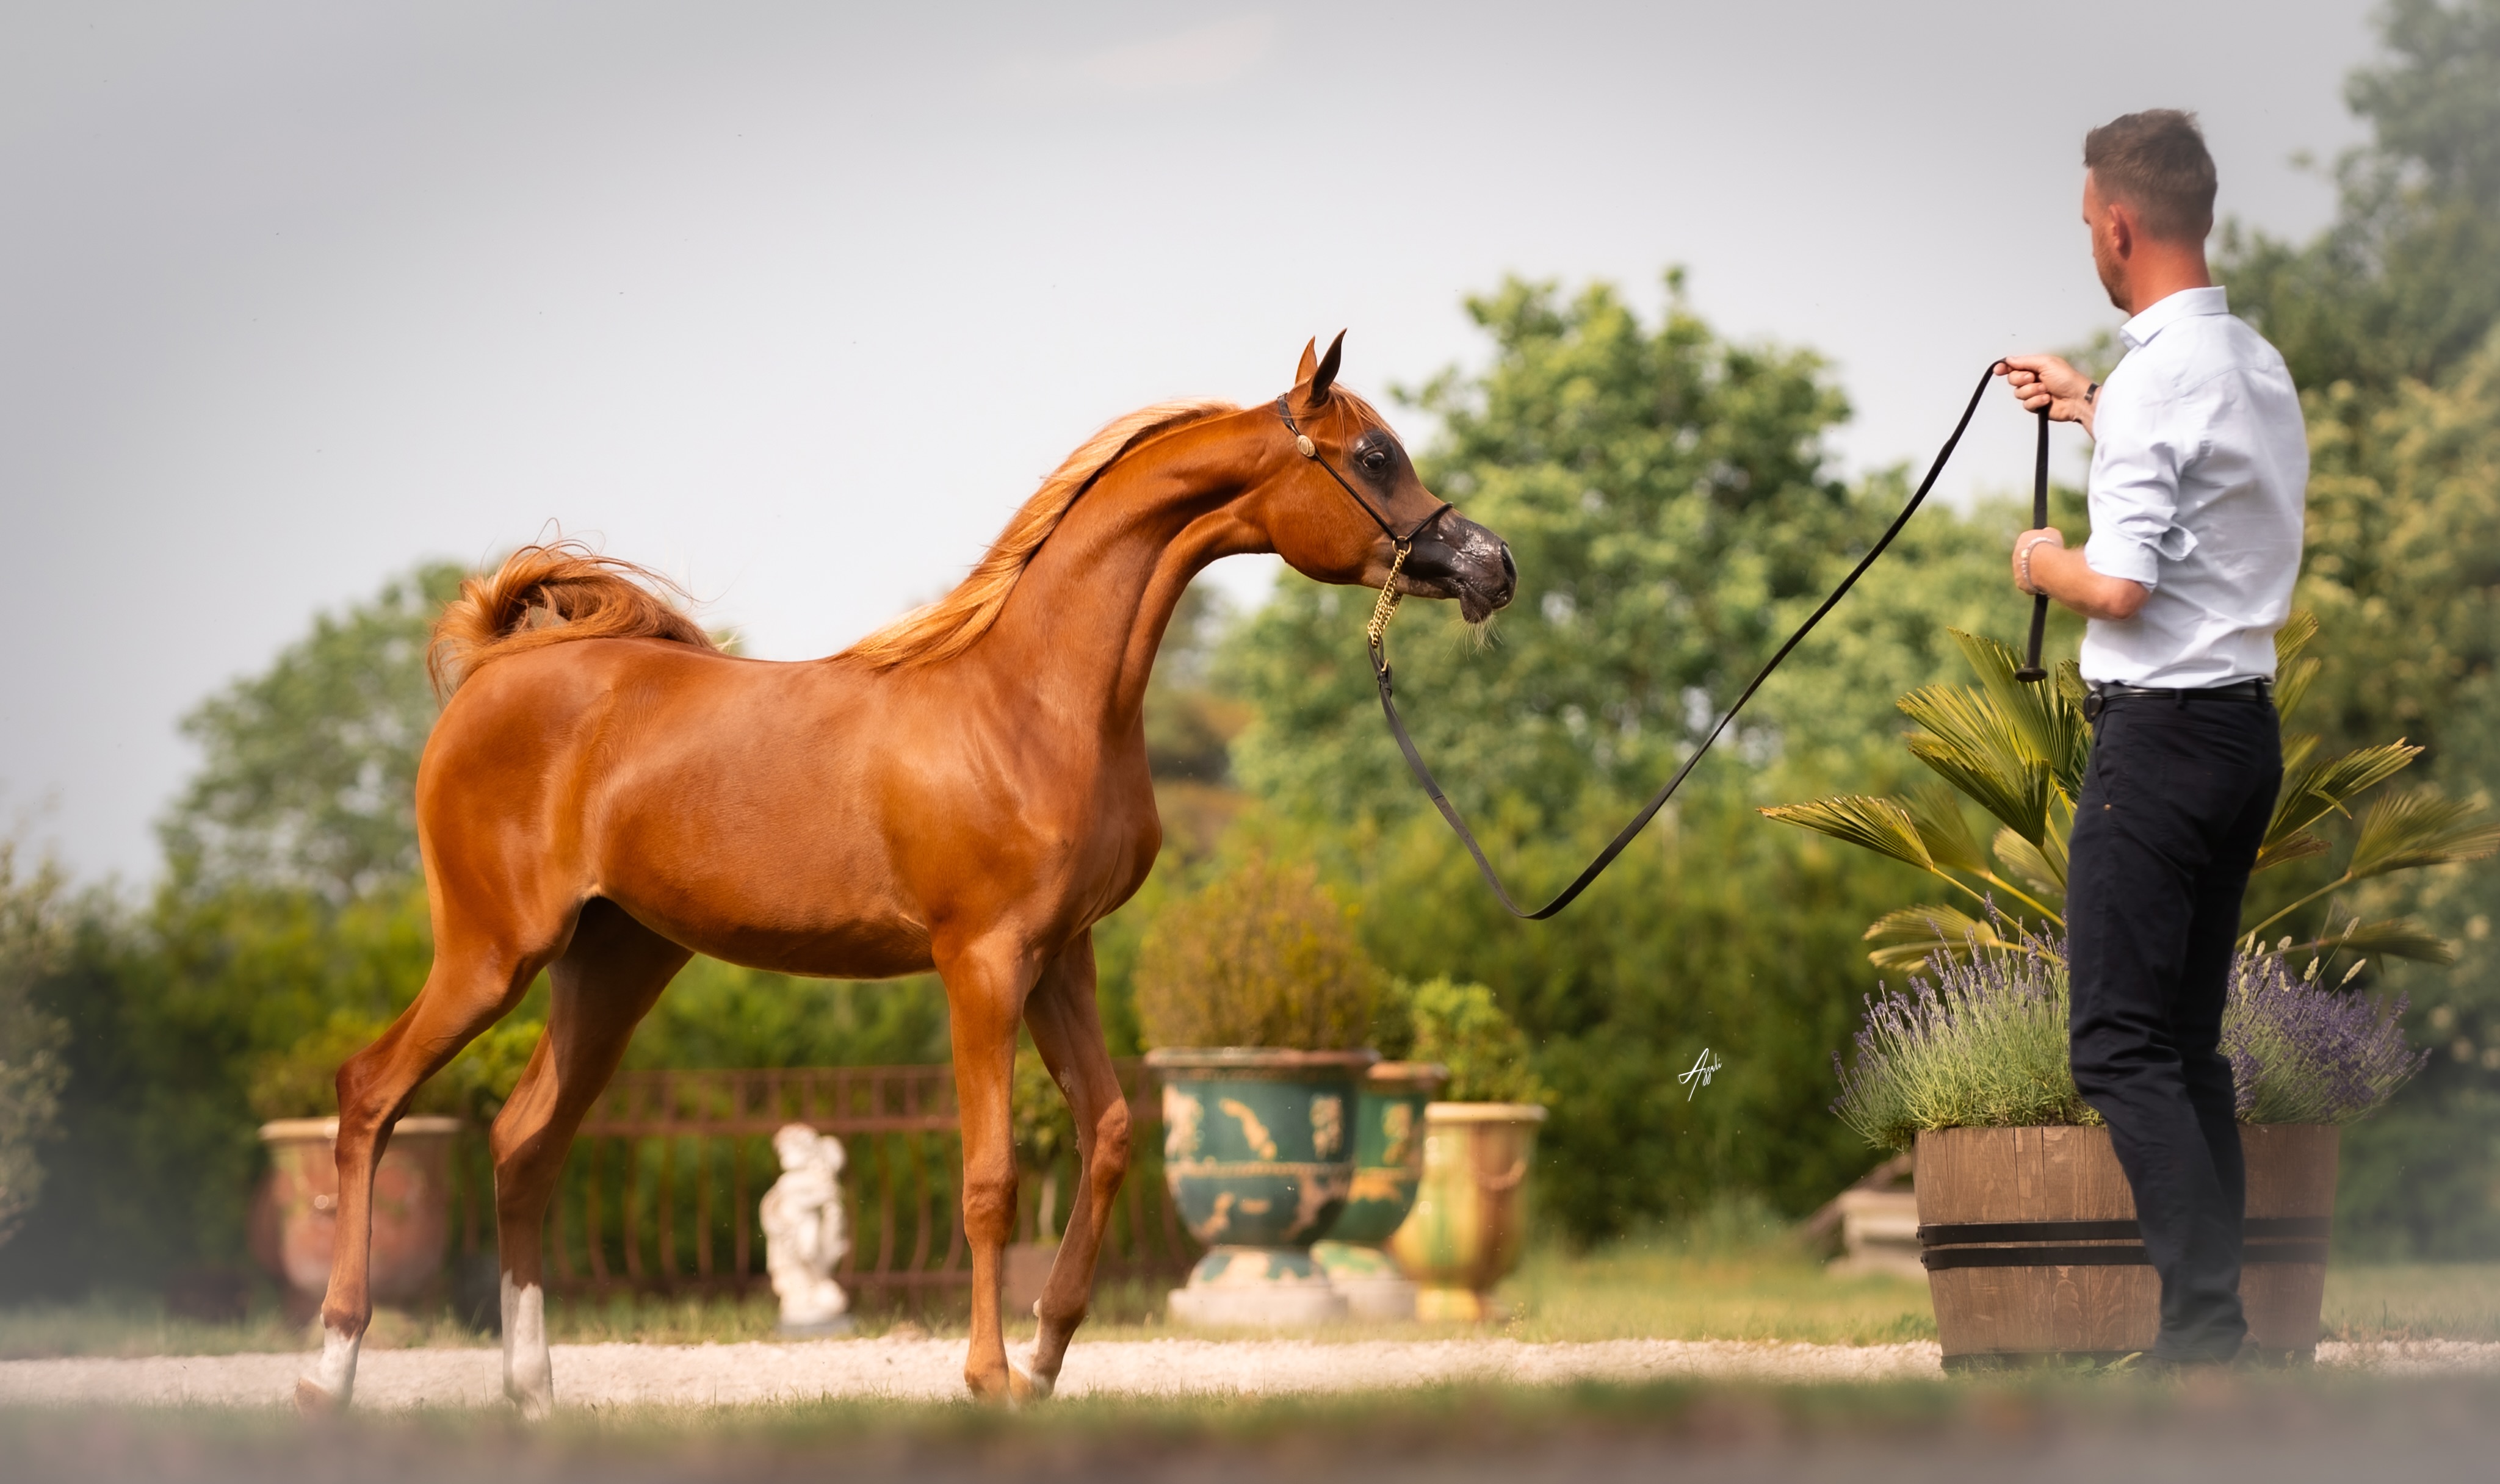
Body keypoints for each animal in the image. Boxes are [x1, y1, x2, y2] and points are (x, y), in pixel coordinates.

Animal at [295, 335, 1517, 1414]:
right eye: (1372, 456)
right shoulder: (981, 962)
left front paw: (1045, 1356)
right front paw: (987, 1378)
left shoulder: (1061, 958)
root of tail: (497, 669)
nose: (1491, 565)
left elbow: (1111, 1134)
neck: (1033, 701)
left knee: (521, 1146)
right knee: (371, 1096)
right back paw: (329, 1370)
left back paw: (532, 1392)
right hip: (493, 952)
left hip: (614, 965)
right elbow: (988, 1181)